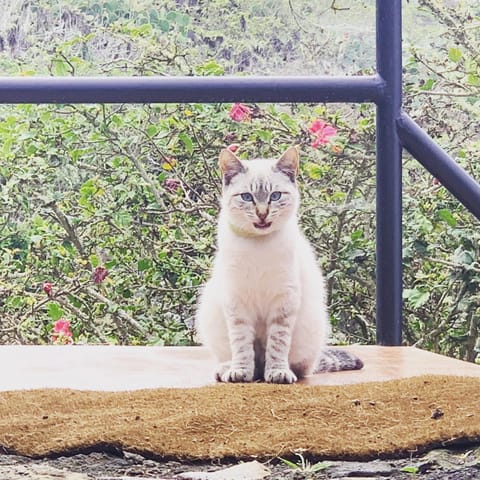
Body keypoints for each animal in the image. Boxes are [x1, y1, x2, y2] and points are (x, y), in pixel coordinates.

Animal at [194, 144, 360, 384]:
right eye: (247, 197)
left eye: (275, 196)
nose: (262, 214)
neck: (258, 245)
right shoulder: (237, 303)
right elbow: (241, 346)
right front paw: (240, 372)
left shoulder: (284, 302)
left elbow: (277, 345)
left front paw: (278, 373)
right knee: (247, 363)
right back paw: (227, 369)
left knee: (297, 367)